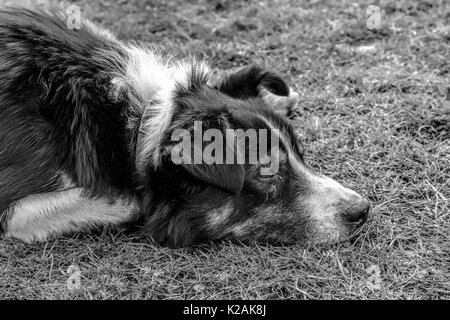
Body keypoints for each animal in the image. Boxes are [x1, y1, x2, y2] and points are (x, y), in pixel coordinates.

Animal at [0, 7, 370, 248]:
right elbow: (130, 200)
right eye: (266, 173)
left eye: (300, 155)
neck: (135, 125)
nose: (362, 209)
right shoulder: (9, 205)